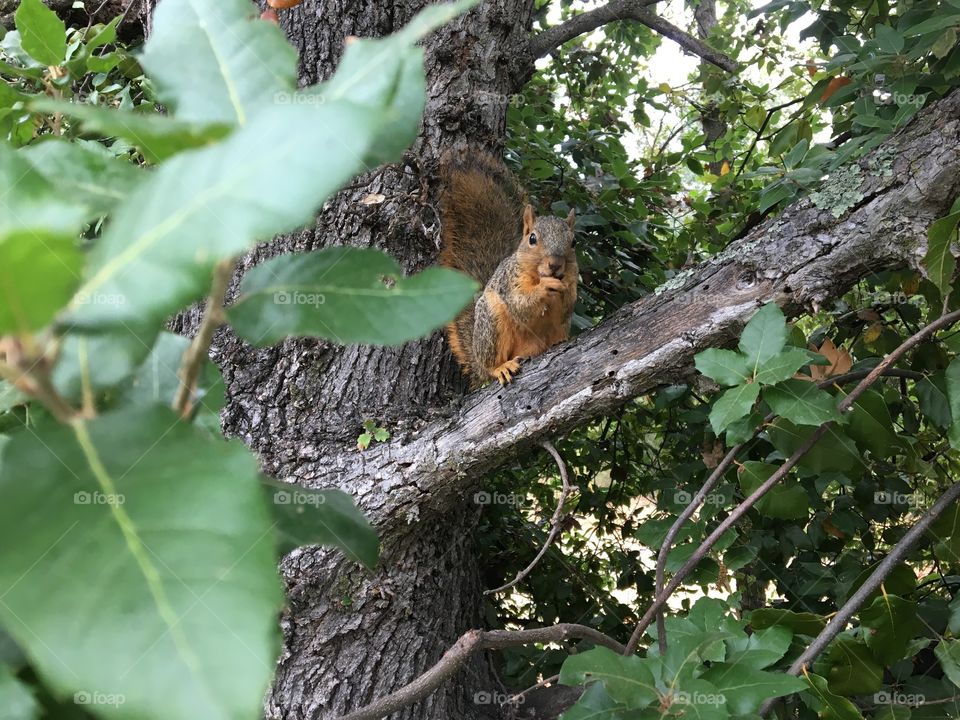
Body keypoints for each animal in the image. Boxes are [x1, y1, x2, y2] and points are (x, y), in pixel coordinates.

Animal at [439, 152, 578, 386]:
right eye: (532, 239)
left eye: (574, 242)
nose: (555, 264)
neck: (537, 274)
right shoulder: (509, 281)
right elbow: (520, 304)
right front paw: (545, 287)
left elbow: (567, 305)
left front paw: (565, 286)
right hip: (492, 322)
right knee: (490, 364)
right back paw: (499, 367)